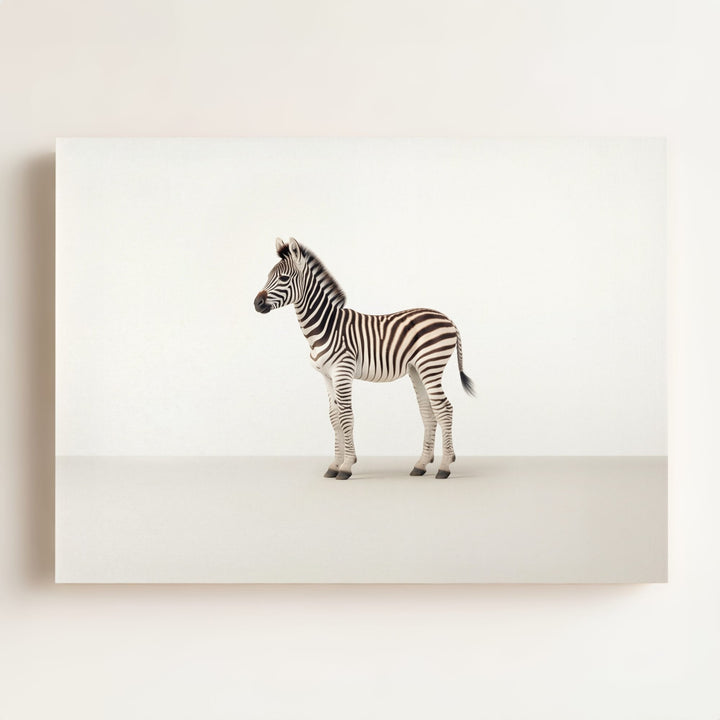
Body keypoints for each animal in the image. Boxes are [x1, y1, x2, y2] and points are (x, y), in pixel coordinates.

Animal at [254, 237, 475, 480]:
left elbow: (346, 416)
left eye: (284, 278)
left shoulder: (342, 371)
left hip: (431, 364)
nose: (256, 303)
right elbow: (334, 417)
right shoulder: (326, 376)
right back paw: (421, 464)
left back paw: (445, 466)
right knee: (428, 410)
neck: (325, 326)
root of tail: (448, 319)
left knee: (444, 409)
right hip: (417, 369)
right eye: (268, 276)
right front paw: (334, 465)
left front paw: (347, 466)